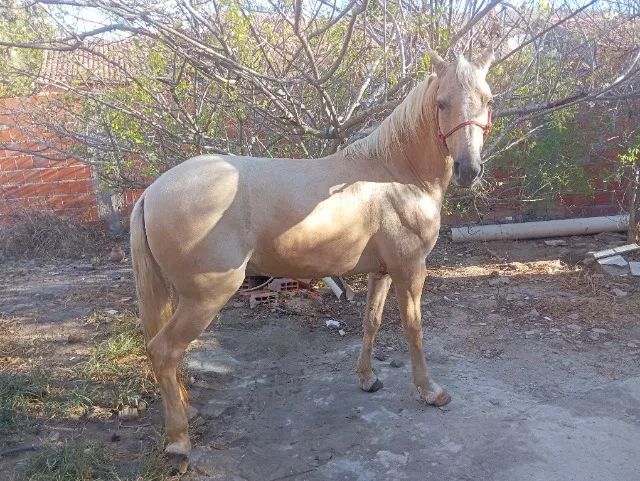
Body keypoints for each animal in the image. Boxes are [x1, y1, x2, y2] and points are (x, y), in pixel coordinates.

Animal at [130, 48, 495, 460]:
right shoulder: (410, 269)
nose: (469, 170)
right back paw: (179, 440)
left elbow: (371, 322)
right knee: (164, 351)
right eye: (442, 103)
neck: (396, 174)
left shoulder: (383, 271)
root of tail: (152, 191)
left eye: (488, 100)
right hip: (205, 296)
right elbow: (413, 328)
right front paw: (430, 391)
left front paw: (368, 379)